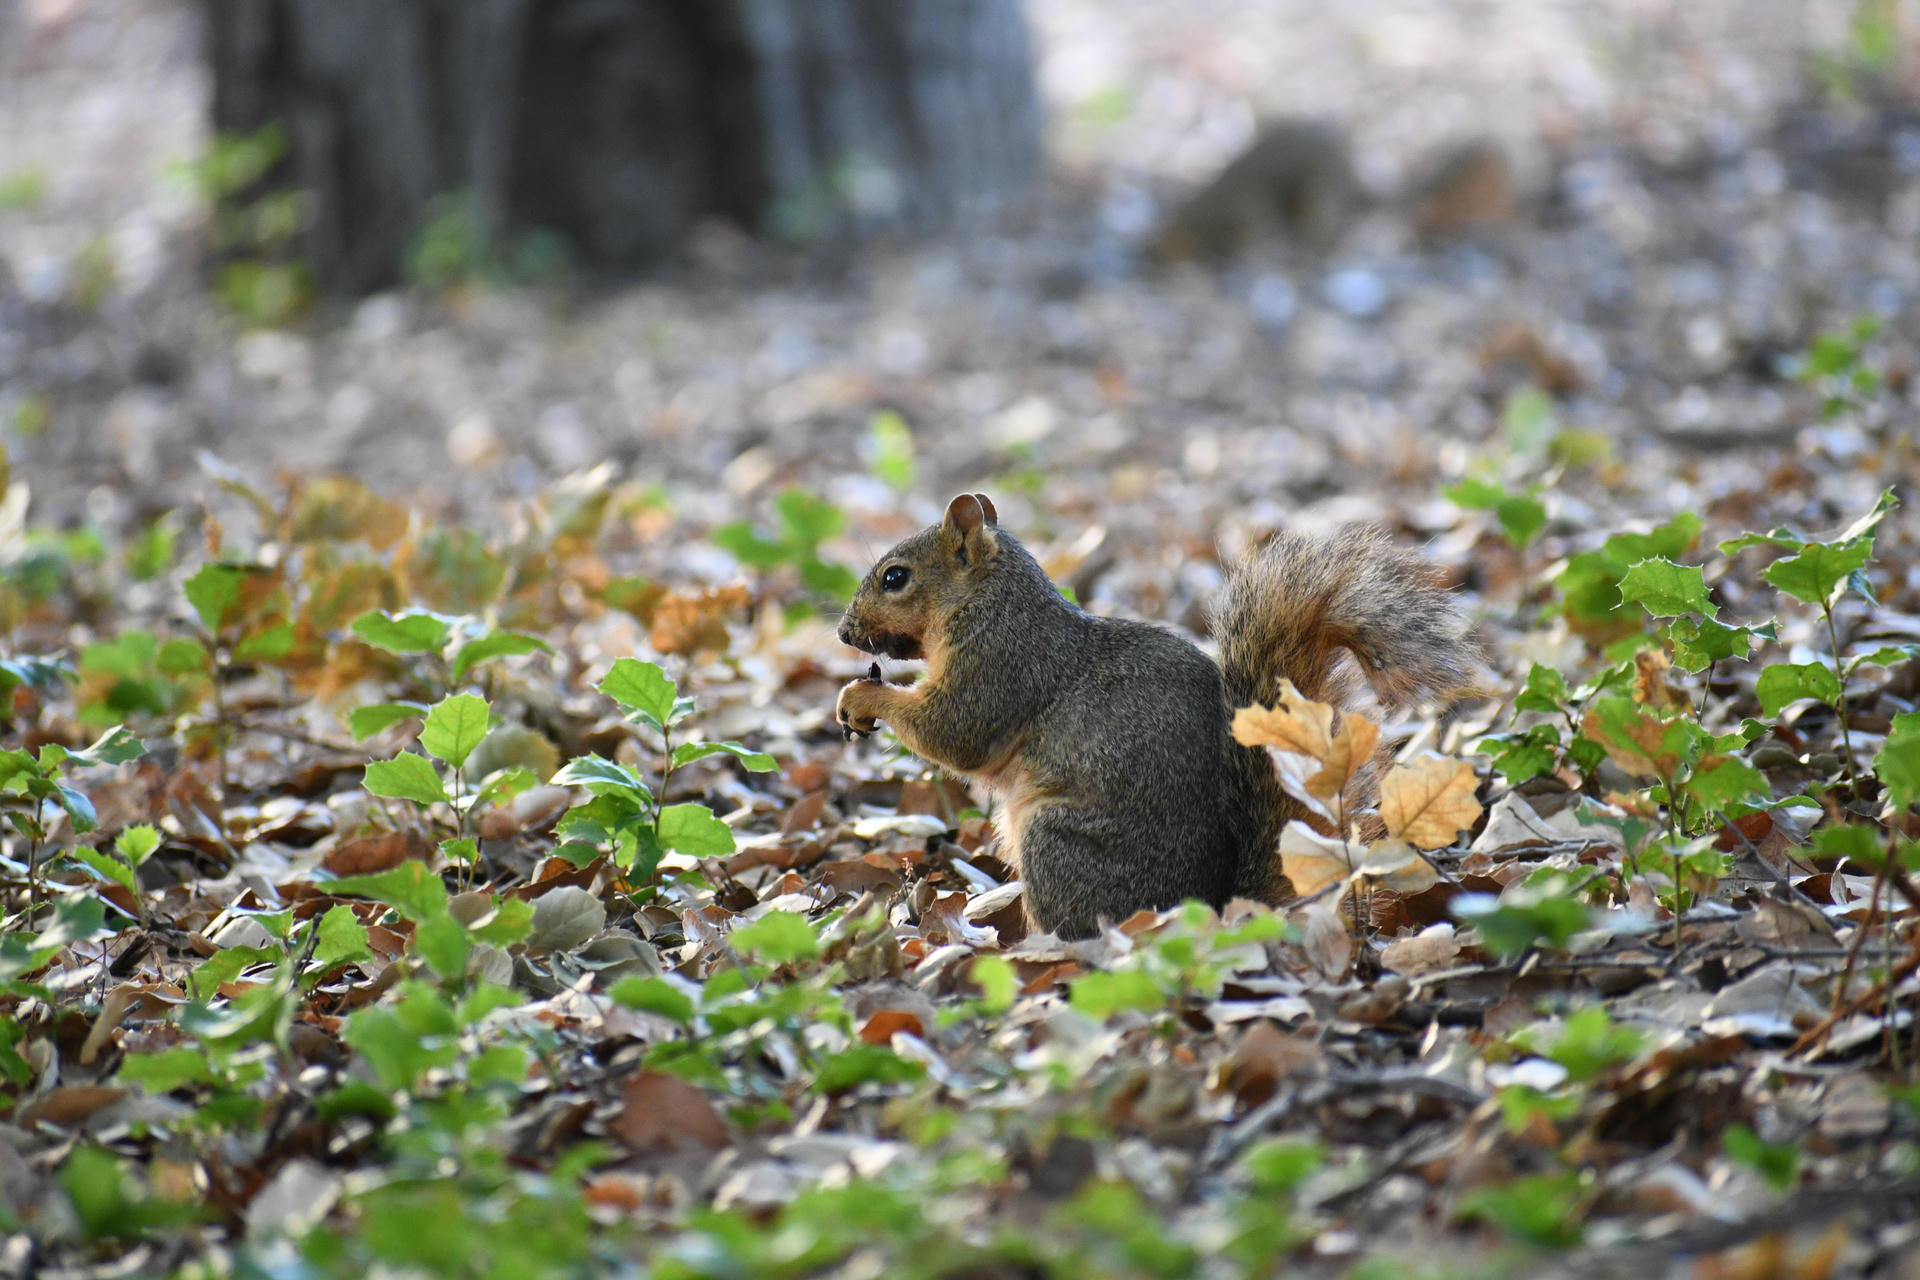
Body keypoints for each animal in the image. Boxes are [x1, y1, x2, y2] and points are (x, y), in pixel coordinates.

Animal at [834, 493, 1474, 939]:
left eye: (895, 577)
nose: (843, 632)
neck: (989, 599)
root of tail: (1214, 906)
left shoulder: (1000, 664)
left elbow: (954, 733)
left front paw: (861, 697)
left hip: (1055, 846)